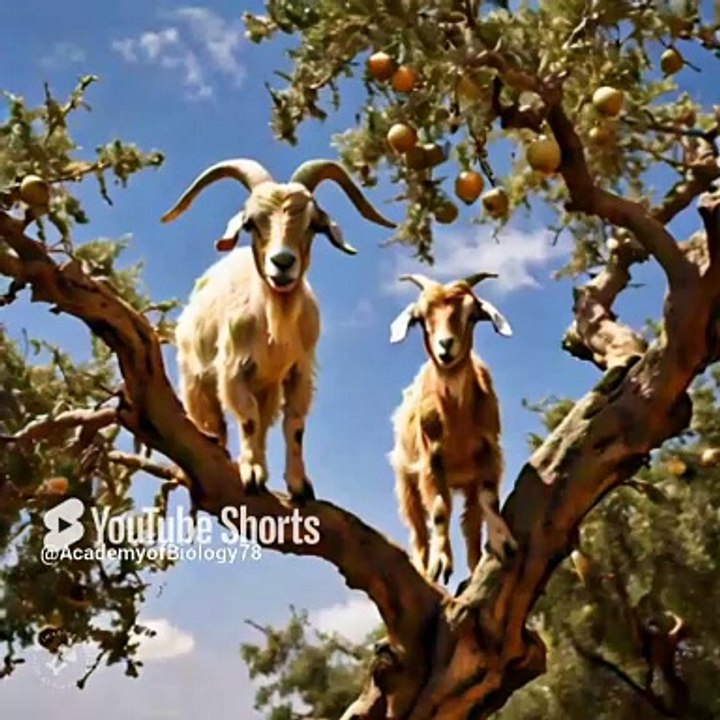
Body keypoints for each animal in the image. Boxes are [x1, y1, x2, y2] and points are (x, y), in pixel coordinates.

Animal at [162, 158, 395, 501]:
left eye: (313, 224)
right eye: (251, 224)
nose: (282, 263)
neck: (274, 326)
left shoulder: (300, 371)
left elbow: (293, 426)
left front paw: (299, 485)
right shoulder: (233, 370)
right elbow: (246, 419)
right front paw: (251, 474)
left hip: (267, 390)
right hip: (196, 379)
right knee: (212, 425)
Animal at [388, 272, 516, 583]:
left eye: (472, 315)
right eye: (420, 318)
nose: (446, 347)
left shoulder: (488, 453)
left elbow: (489, 500)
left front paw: (503, 543)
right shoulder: (430, 461)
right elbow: (438, 510)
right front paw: (441, 562)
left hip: (466, 482)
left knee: (471, 527)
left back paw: (473, 569)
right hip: (405, 481)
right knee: (419, 533)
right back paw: (427, 571)